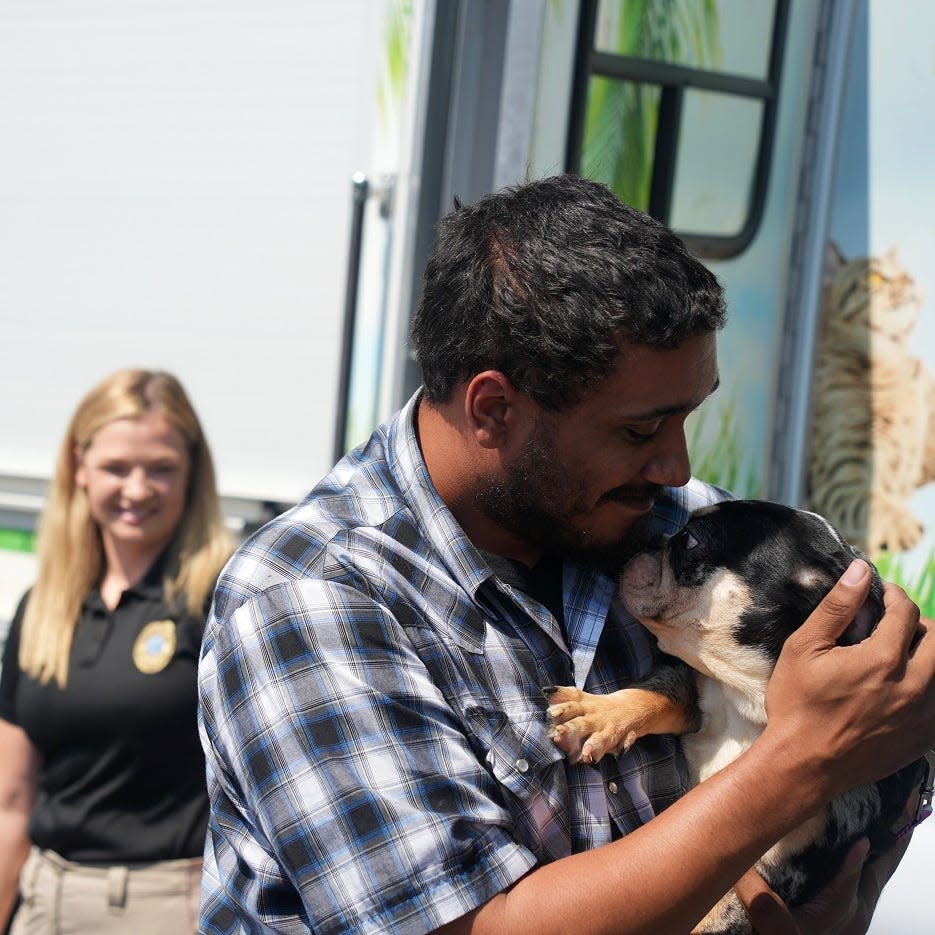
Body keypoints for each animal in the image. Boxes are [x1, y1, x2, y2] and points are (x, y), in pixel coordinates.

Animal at [548, 500, 928, 932]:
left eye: (691, 540)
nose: (648, 538)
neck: (747, 703)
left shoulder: (769, 877)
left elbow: (714, 917)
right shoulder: (694, 685)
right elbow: (659, 692)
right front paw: (596, 714)